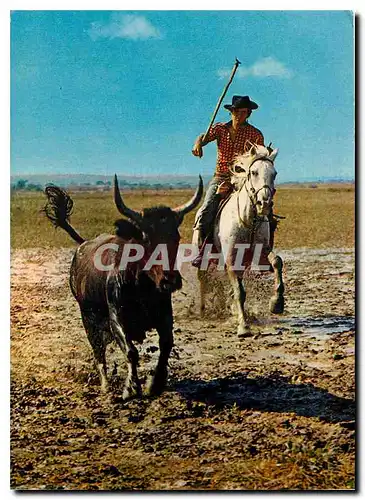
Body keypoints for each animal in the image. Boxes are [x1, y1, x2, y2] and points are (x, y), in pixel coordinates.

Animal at [192, 146, 282, 340]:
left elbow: (277, 262)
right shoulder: (231, 257)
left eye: (274, 173)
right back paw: (203, 310)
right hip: (203, 258)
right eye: (254, 172)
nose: (264, 203)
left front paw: (277, 303)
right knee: (203, 279)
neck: (248, 220)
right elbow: (240, 292)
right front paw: (243, 327)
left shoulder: (262, 251)